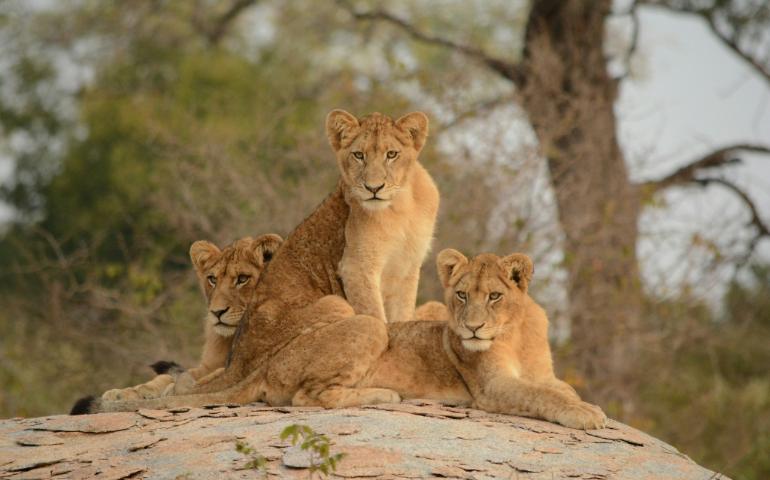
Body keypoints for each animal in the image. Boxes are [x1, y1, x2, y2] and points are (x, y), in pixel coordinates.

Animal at [97, 234, 283, 403]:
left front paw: (174, 390)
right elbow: (175, 376)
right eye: (212, 279)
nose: (217, 312)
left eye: (242, 279)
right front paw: (127, 392)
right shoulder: (208, 365)